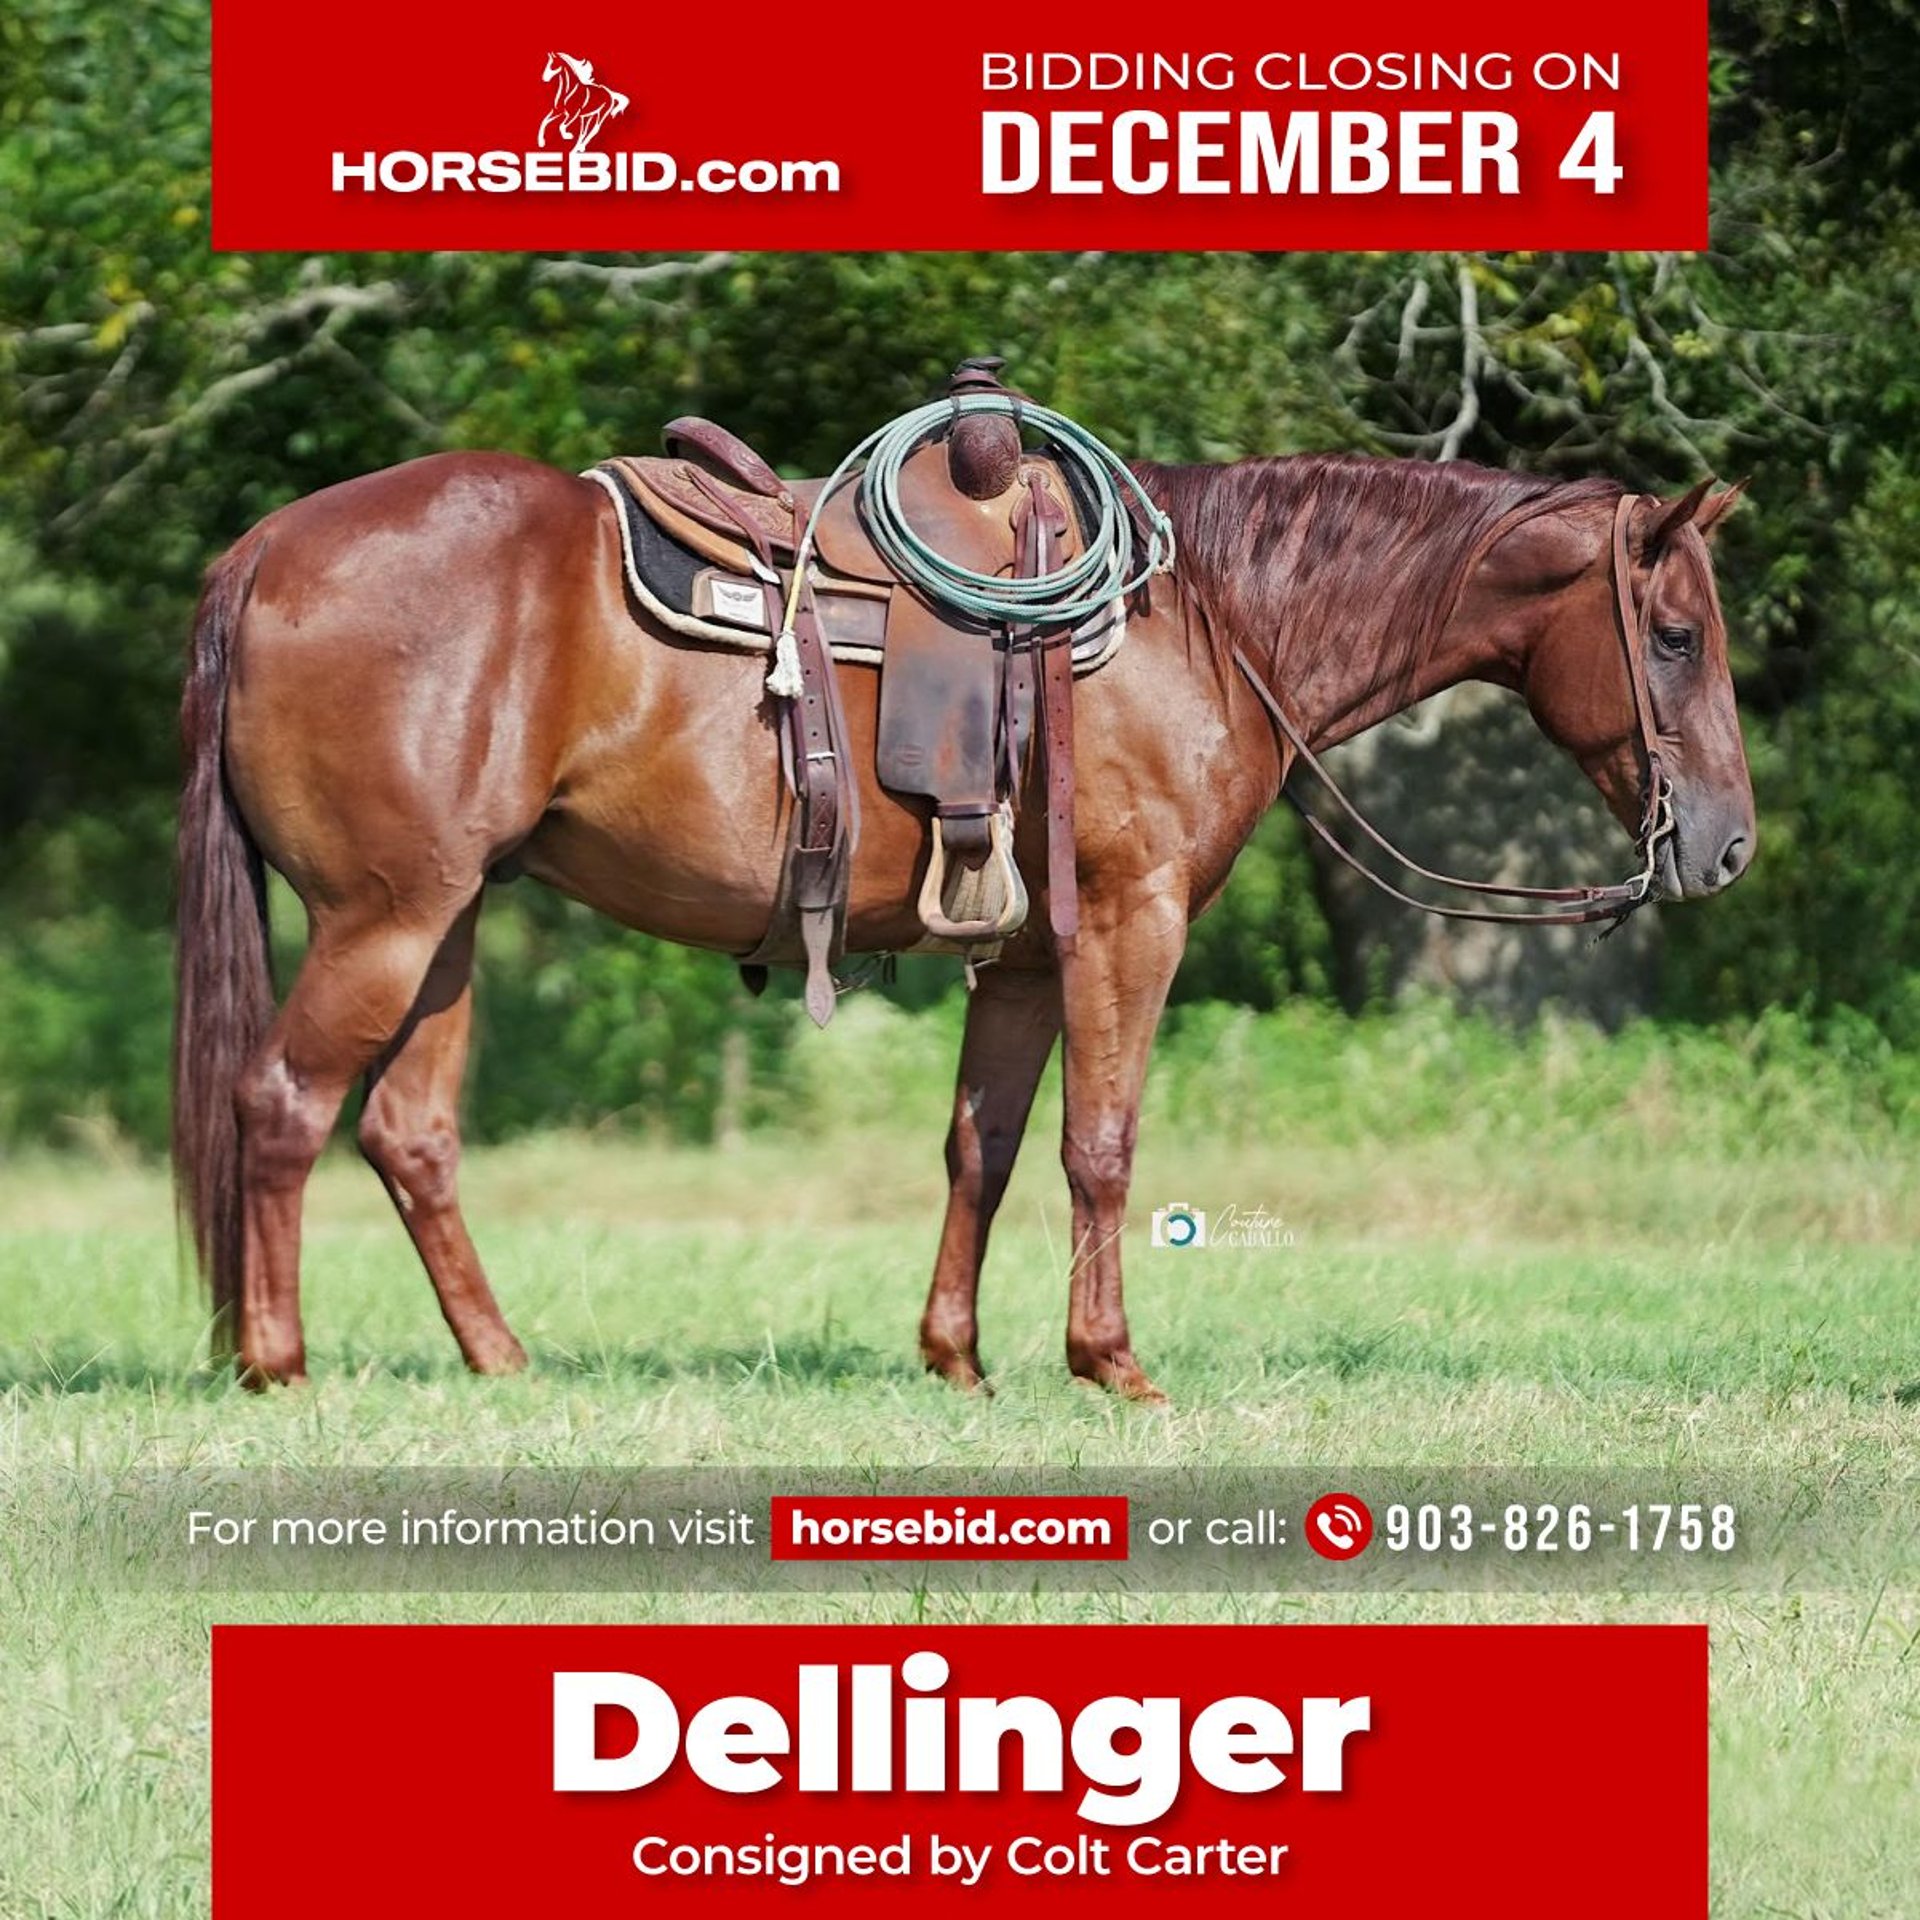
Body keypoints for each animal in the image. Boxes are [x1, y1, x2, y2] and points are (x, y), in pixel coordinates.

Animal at [172, 445, 1753, 1399]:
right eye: (1675, 637)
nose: (1727, 843)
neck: (1203, 625)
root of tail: (263, 549)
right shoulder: (1130, 926)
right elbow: (1100, 1148)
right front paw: (1111, 1363)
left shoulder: (1031, 960)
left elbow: (981, 1149)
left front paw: (959, 1360)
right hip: (384, 921)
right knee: (280, 1101)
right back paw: (277, 1363)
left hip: (446, 928)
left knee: (408, 1136)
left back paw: (503, 1361)